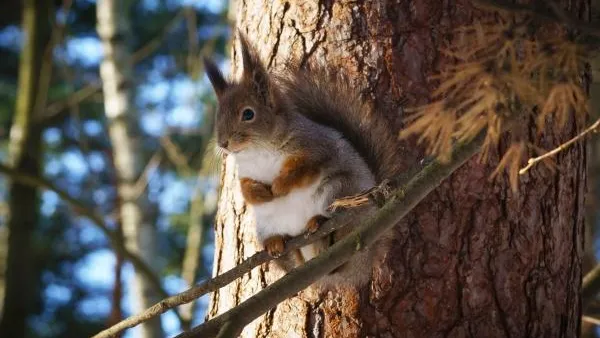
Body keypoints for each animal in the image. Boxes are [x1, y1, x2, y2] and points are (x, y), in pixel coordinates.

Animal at [204, 31, 400, 286]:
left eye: (248, 114)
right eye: (218, 115)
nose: (223, 144)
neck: (258, 151)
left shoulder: (317, 149)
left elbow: (302, 171)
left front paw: (279, 187)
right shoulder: (246, 172)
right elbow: (246, 189)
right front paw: (260, 193)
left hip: (339, 191)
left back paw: (318, 222)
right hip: (266, 226)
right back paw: (277, 244)